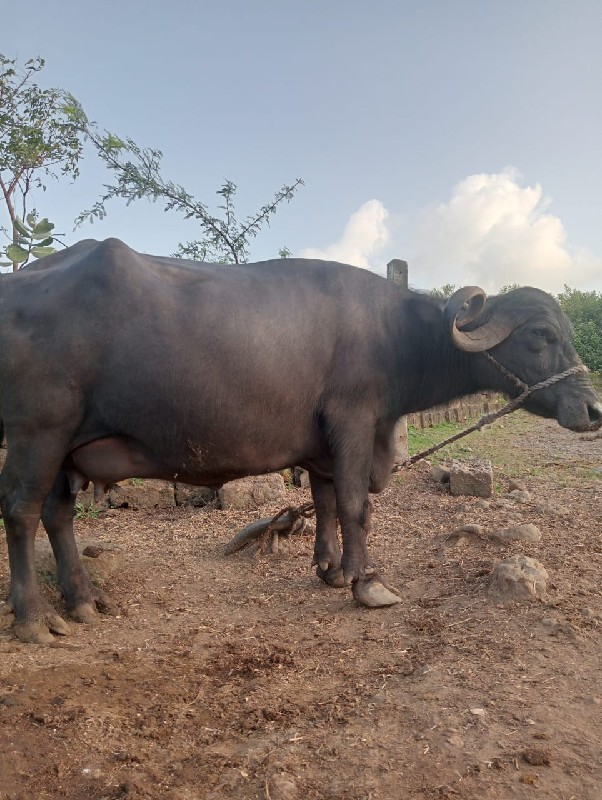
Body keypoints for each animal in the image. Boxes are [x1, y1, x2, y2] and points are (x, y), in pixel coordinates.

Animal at [0, 239, 596, 644]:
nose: (593, 411)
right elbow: (355, 505)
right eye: (541, 335)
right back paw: (34, 619)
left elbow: (326, 501)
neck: (395, 334)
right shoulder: (354, 422)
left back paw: (82, 601)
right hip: (38, 433)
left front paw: (331, 569)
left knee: (58, 515)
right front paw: (367, 583)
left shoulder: (321, 448)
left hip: (67, 449)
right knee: (22, 512)